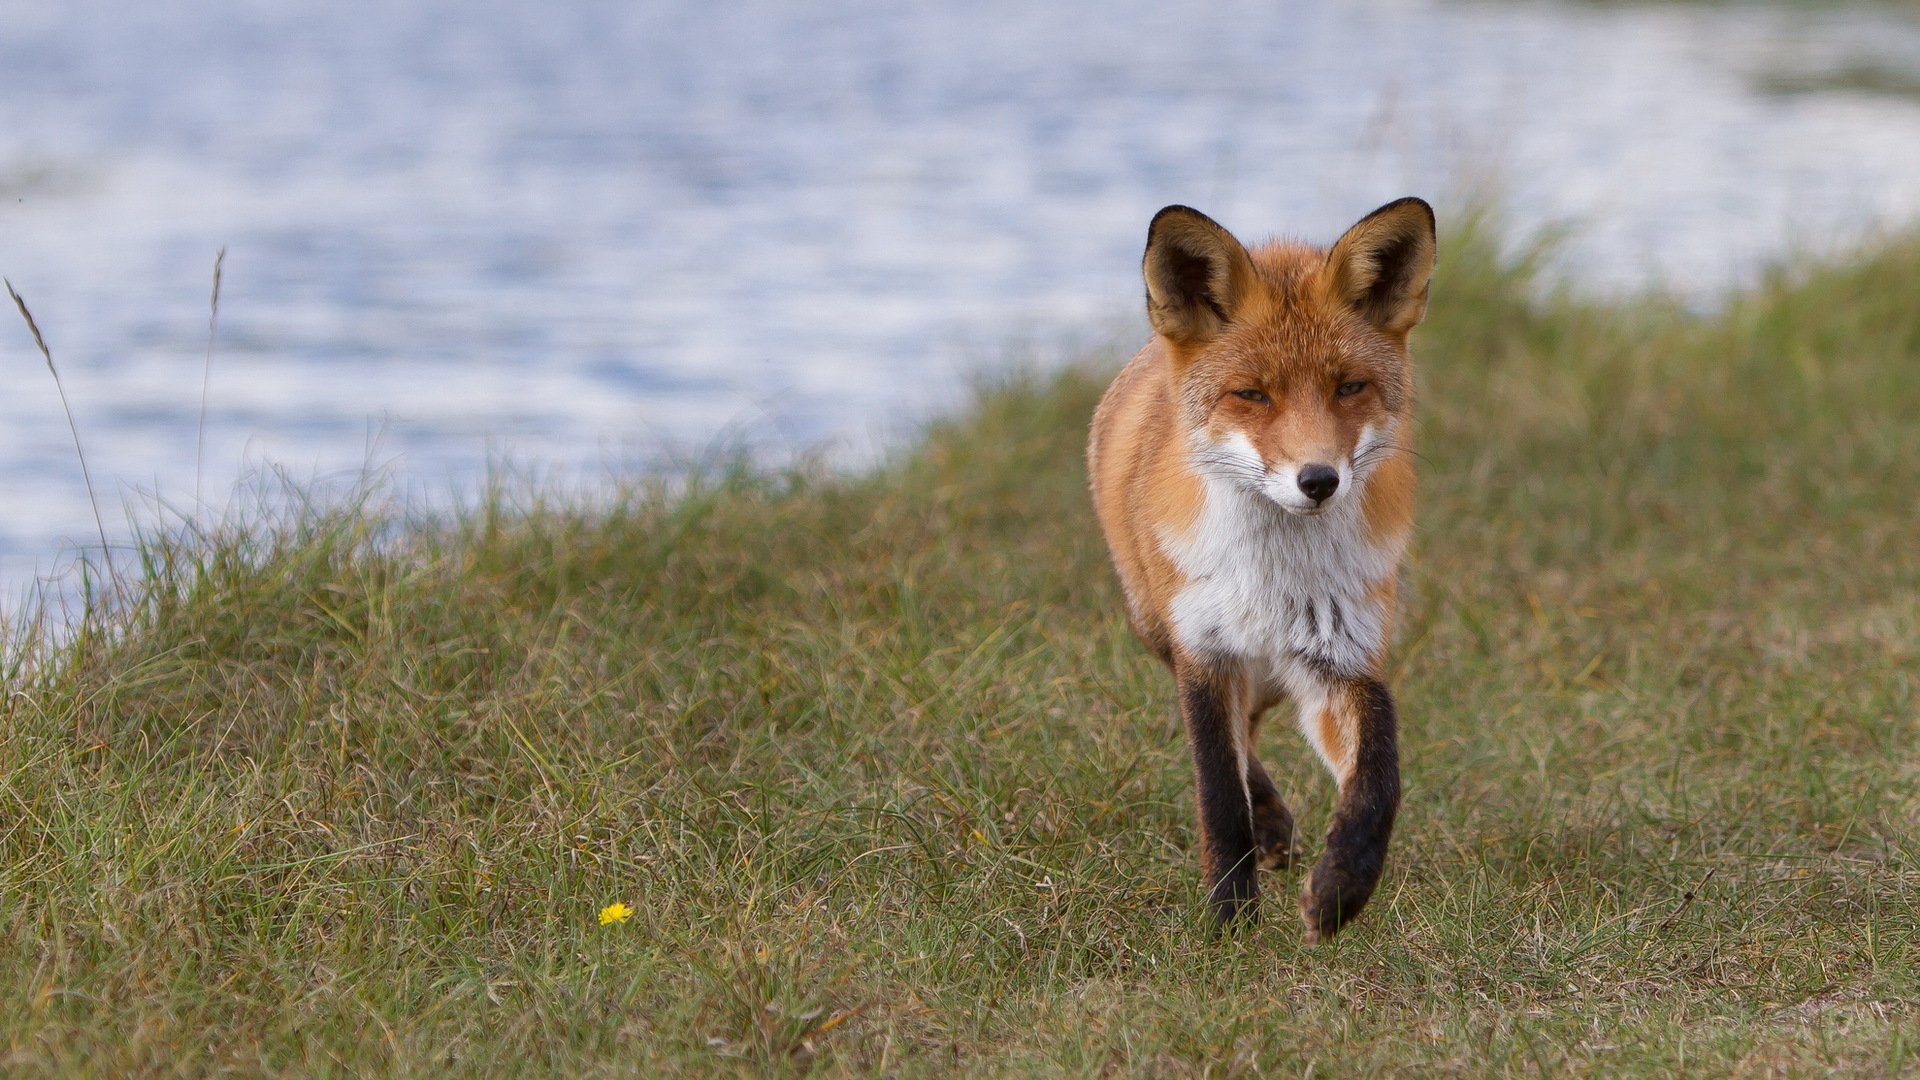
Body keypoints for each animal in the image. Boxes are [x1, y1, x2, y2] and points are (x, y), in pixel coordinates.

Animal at [1087, 198, 1435, 941]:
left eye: (1349, 387)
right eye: (1252, 394)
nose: (1319, 480)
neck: (1277, 580)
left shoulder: (1343, 658)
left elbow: (1379, 777)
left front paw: (1341, 888)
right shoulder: (1204, 651)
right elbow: (1218, 793)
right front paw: (1229, 923)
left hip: (1273, 674)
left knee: (1251, 728)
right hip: (1157, 626)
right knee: (1237, 745)